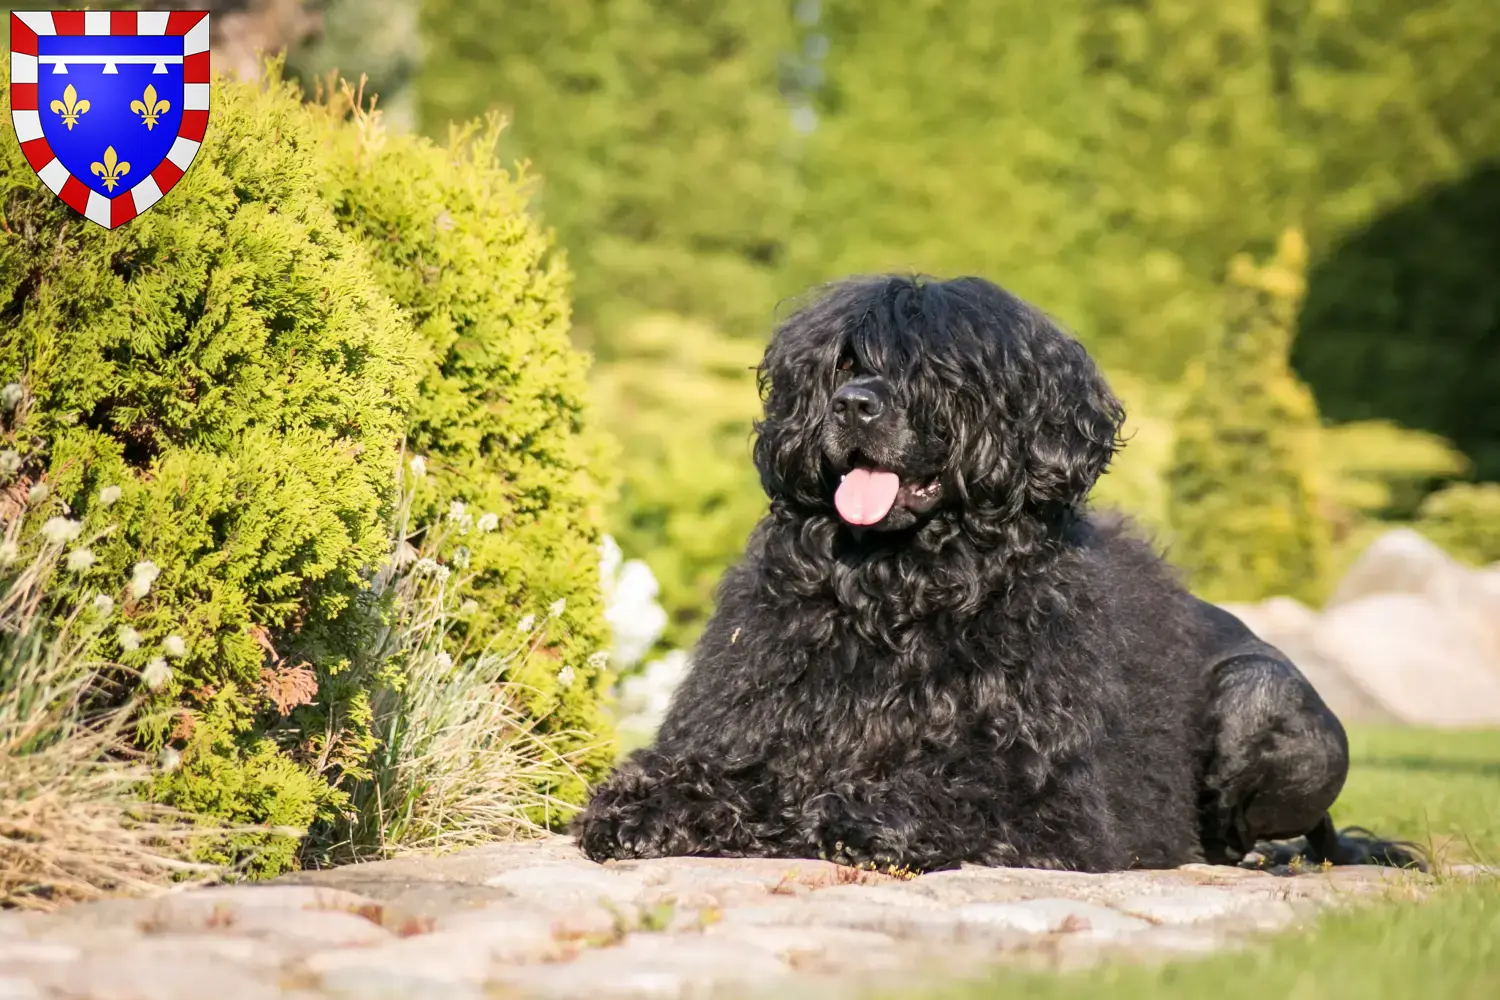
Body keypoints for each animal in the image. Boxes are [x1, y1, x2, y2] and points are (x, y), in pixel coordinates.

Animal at [573, 274, 1416, 875]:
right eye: (843, 363)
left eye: (937, 372)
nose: (852, 405)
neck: (901, 591)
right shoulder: (754, 722)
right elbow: (709, 772)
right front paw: (649, 809)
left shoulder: (1046, 797)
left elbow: (945, 788)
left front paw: (858, 817)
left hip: (1261, 695)